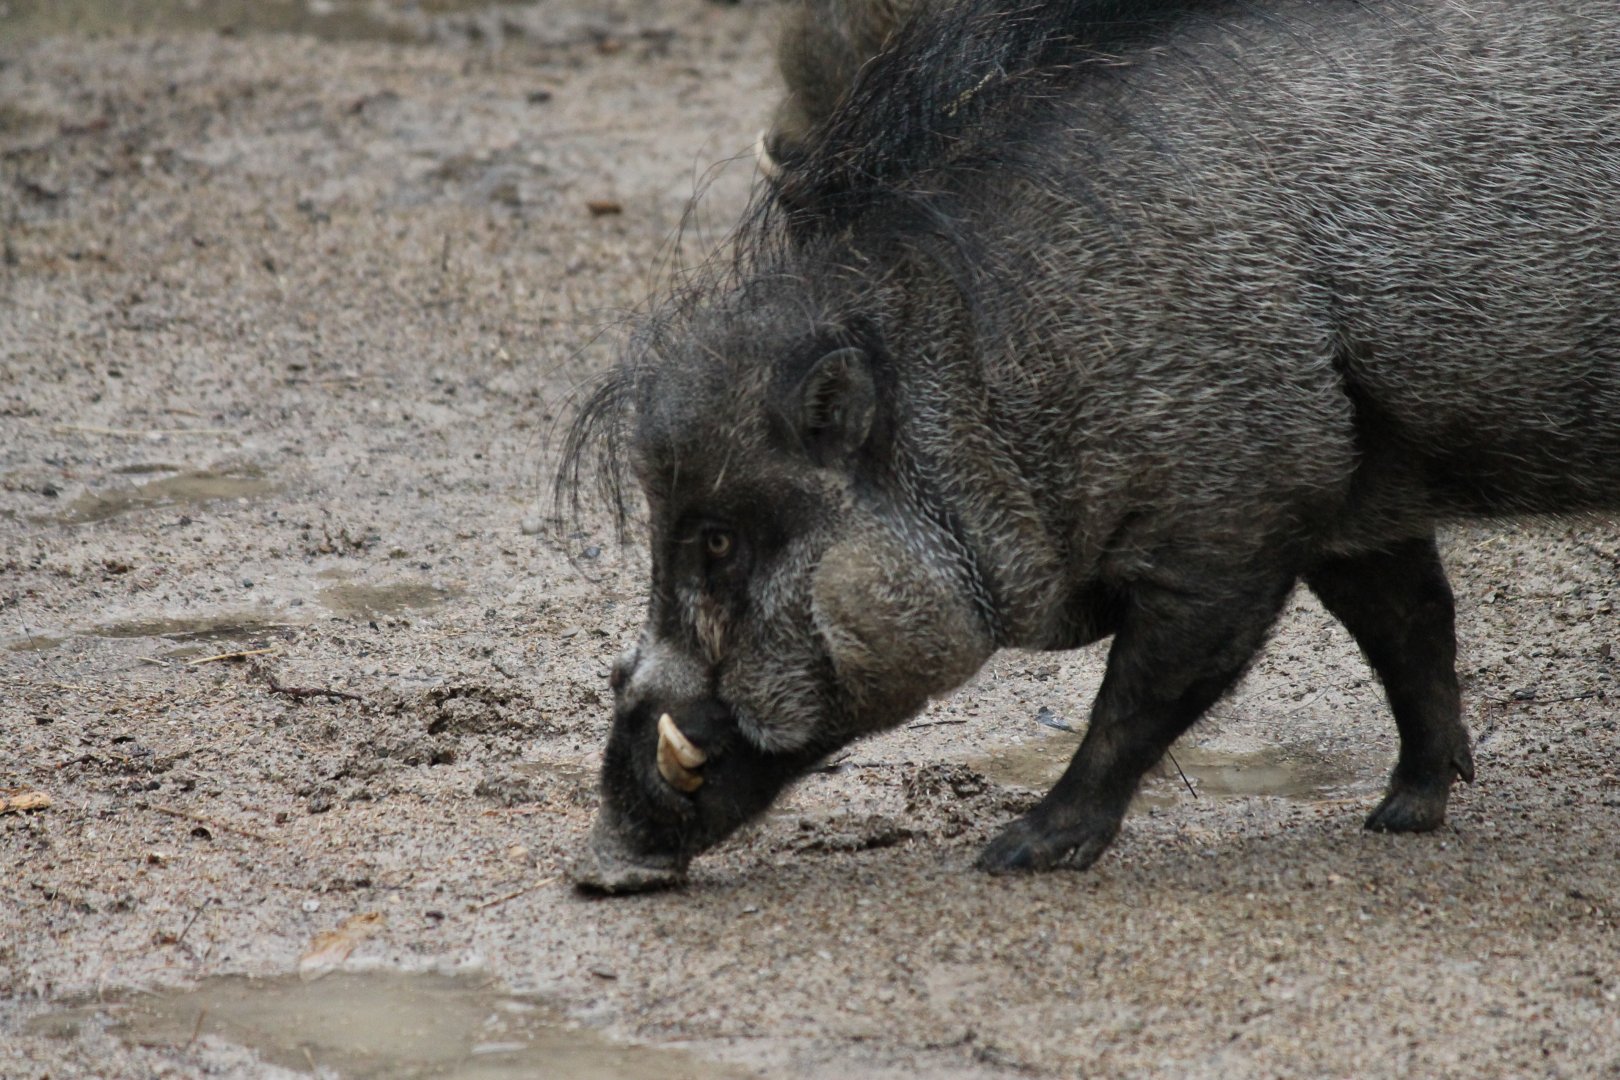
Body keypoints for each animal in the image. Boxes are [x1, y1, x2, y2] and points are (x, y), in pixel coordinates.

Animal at [562, 0, 1620, 892]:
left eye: (718, 540)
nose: (599, 868)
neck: (1003, 362)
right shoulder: (1351, 498)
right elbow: (1412, 628)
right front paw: (1404, 813)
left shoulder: (1228, 529)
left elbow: (1141, 699)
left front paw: (1018, 852)